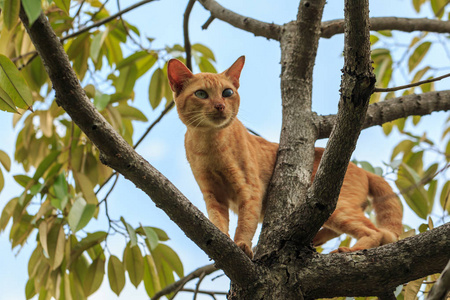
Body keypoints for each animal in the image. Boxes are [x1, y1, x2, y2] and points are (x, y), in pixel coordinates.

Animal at [166, 56, 404, 258]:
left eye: (227, 93)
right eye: (201, 94)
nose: (220, 105)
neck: (209, 146)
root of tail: (362, 169)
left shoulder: (250, 189)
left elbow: (245, 224)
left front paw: (241, 245)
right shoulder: (213, 195)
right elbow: (218, 222)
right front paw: (222, 239)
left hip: (337, 207)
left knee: (376, 232)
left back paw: (348, 250)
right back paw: (313, 240)